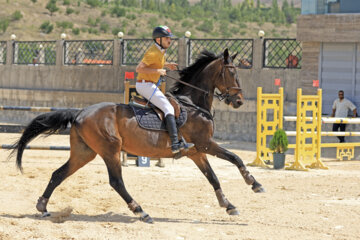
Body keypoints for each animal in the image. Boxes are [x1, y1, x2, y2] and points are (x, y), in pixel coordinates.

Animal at [10, 47, 264, 224]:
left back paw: (42, 207)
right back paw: (141, 211)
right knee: (116, 181)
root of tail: (80, 112)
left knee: (58, 174)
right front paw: (254, 184)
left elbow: (213, 177)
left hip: (85, 153)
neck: (193, 104)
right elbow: (235, 158)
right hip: (110, 150)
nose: (239, 101)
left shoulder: (196, 152)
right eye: (231, 72)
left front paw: (228, 204)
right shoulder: (206, 144)